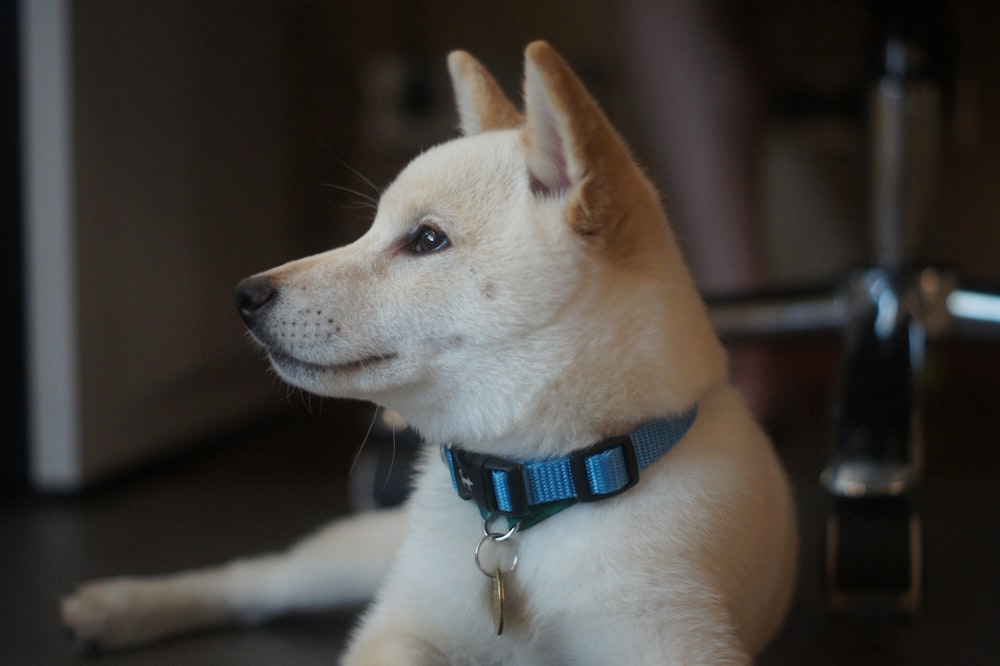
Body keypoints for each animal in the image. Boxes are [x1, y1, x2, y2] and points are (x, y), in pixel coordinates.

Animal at [62, 42, 796, 664]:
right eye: (372, 228)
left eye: (427, 240)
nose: (245, 295)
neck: (533, 494)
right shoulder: (402, 627)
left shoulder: (668, 638)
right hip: (362, 556)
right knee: (259, 579)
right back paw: (122, 606)